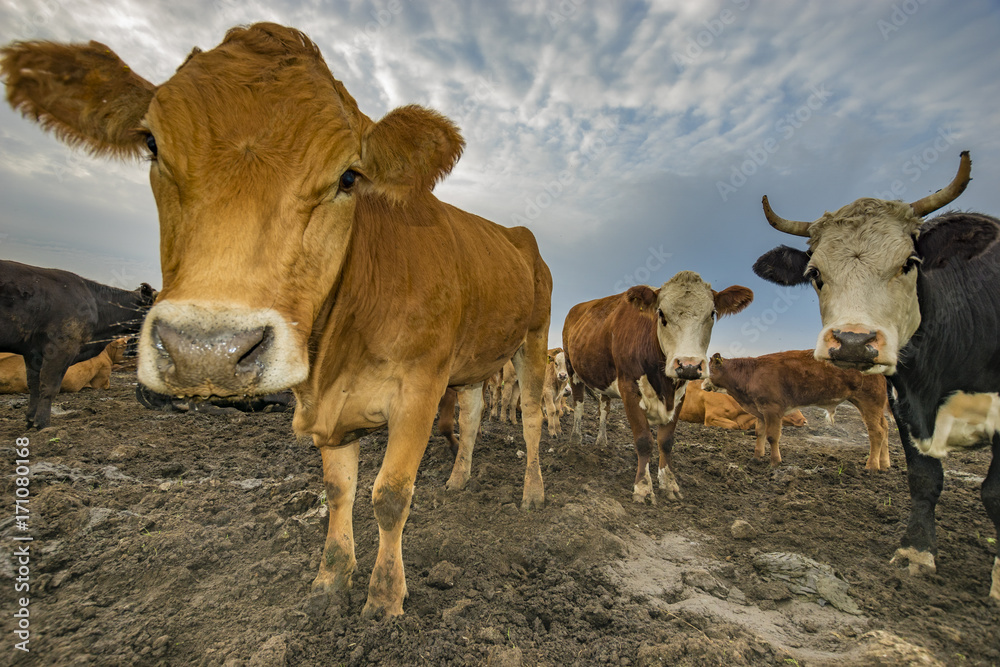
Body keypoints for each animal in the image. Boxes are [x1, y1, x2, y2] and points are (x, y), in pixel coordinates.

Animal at [563, 271, 753, 503]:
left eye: (712, 314)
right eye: (661, 313)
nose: (689, 364)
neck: (664, 384)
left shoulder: (680, 393)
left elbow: (666, 441)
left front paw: (669, 483)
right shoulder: (629, 387)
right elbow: (644, 440)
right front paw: (643, 486)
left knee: (604, 409)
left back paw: (601, 441)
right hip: (572, 368)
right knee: (579, 405)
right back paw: (575, 440)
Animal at [702, 350, 889, 468]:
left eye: (708, 370)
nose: (702, 385)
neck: (750, 374)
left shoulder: (772, 409)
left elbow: (772, 436)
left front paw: (775, 462)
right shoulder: (760, 411)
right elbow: (759, 433)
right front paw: (757, 457)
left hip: (869, 403)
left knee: (877, 432)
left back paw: (872, 466)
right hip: (875, 406)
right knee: (885, 428)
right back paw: (885, 464)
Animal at [752, 151, 1000, 600]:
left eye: (909, 263)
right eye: (815, 274)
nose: (853, 341)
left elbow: (994, 493)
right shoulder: (907, 406)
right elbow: (923, 477)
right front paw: (916, 553)